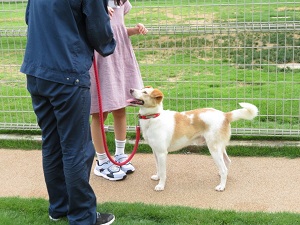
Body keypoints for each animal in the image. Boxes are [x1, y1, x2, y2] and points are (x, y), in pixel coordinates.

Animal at [127, 86, 258, 192]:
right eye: (141, 88)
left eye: (145, 92)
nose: (131, 89)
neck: (154, 117)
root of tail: (225, 115)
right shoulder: (155, 152)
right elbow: (158, 167)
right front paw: (157, 177)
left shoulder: (162, 153)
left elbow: (163, 172)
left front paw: (161, 185)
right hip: (219, 147)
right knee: (227, 162)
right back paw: (222, 178)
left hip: (214, 149)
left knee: (224, 168)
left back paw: (221, 186)